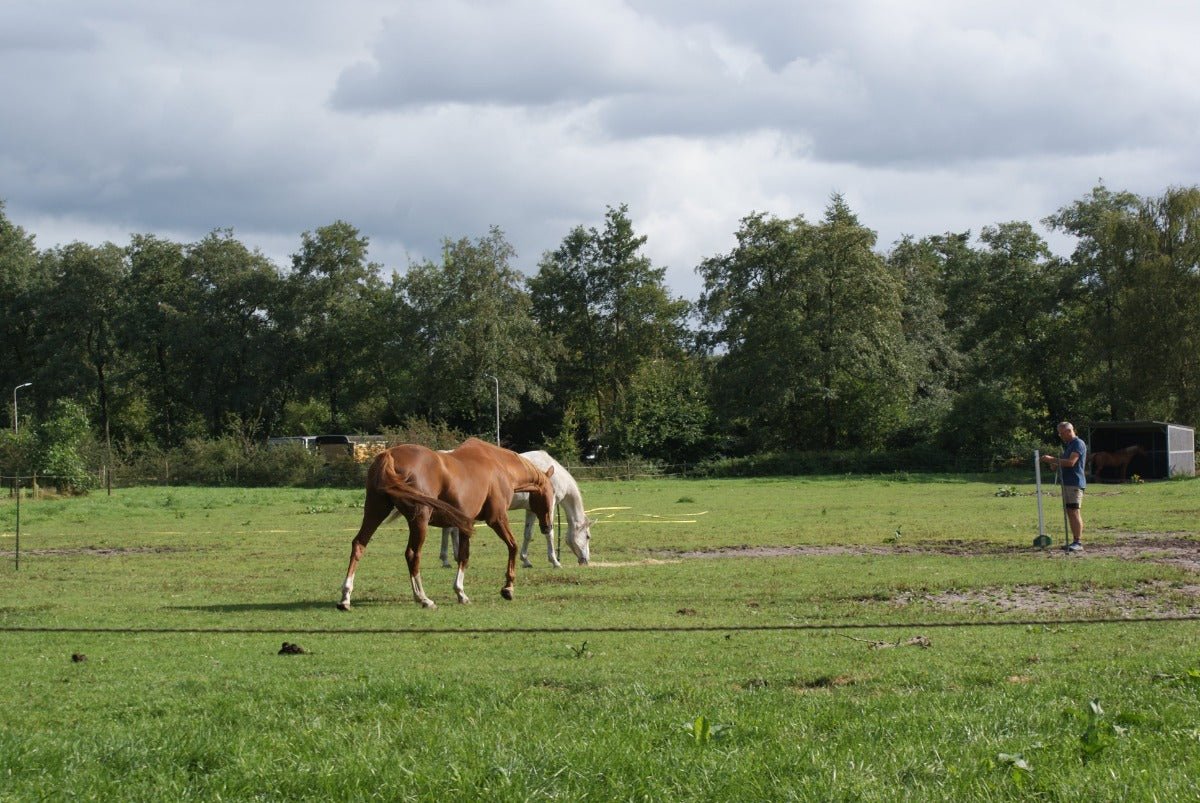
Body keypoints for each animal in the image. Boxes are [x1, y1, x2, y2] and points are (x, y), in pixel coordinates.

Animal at [338, 439, 556, 607]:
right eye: (550, 494)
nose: (548, 526)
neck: (501, 467)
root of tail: (389, 454)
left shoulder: (467, 524)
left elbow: (464, 557)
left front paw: (461, 593)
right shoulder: (497, 519)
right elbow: (513, 546)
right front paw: (508, 588)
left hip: (375, 512)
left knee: (359, 544)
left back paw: (346, 597)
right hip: (419, 520)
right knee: (412, 554)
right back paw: (423, 598)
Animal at [441, 448, 590, 566]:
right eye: (588, 536)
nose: (586, 560)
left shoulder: (532, 510)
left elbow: (528, 534)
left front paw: (525, 560)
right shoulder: (549, 507)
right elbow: (549, 533)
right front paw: (554, 561)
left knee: (450, 530)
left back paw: (450, 558)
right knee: (451, 530)